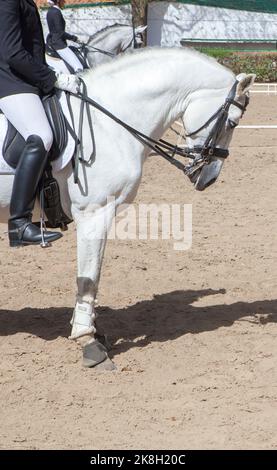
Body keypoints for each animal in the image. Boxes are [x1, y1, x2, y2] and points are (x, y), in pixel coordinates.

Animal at [0, 48, 254, 370]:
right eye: (232, 122)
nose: (208, 179)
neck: (108, 121)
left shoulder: (102, 215)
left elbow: (94, 275)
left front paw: (95, 331)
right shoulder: (93, 214)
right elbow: (88, 278)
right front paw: (88, 341)